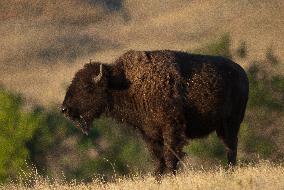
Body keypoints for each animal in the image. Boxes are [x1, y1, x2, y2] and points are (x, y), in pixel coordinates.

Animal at [61, 49, 248, 176]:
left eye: (86, 86)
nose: (64, 109)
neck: (123, 83)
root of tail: (242, 73)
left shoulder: (171, 129)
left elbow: (170, 156)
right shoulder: (149, 134)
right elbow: (158, 159)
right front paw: (158, 178)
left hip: (231, 124)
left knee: (231, 147)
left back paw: (230, 170)